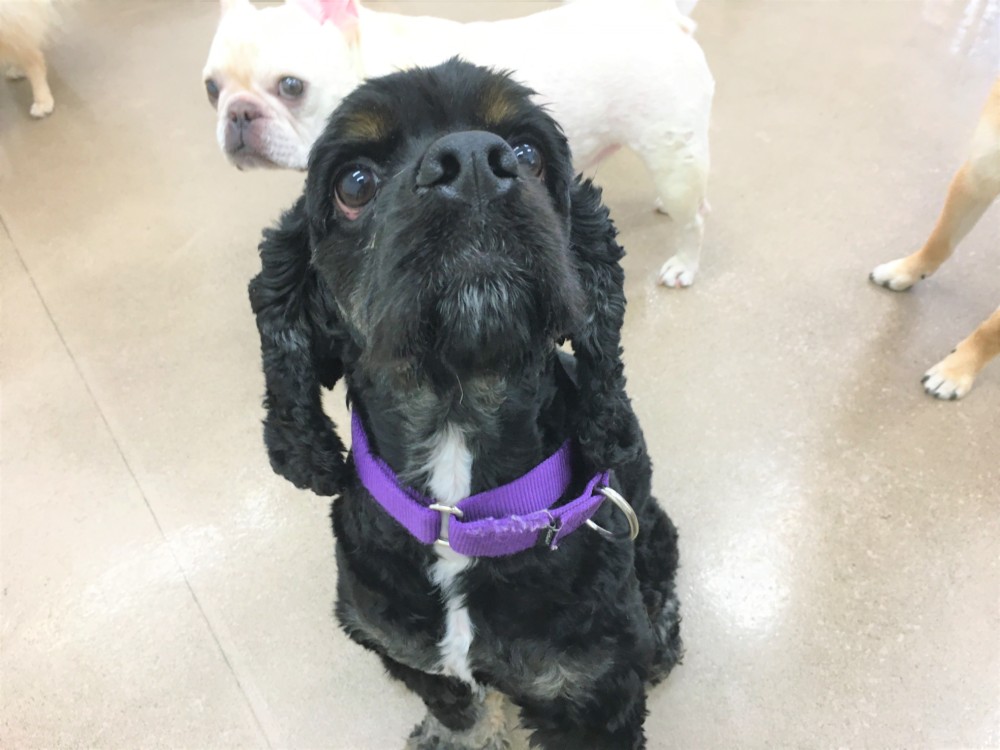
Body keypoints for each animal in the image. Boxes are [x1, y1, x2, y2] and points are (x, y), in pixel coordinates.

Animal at [205, 0, 714, 288]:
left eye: (291, 86)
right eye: (212, 88)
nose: (238, 114)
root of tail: (664, 18)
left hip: (670, 157)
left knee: (694, 222)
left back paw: (684, 265)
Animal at [249, 59, 682, 748]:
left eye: (529, 153)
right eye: (354, 182)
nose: (476, 161)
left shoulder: (592, 688)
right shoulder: (405, 649)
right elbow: (463, 710)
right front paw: (454, 731)